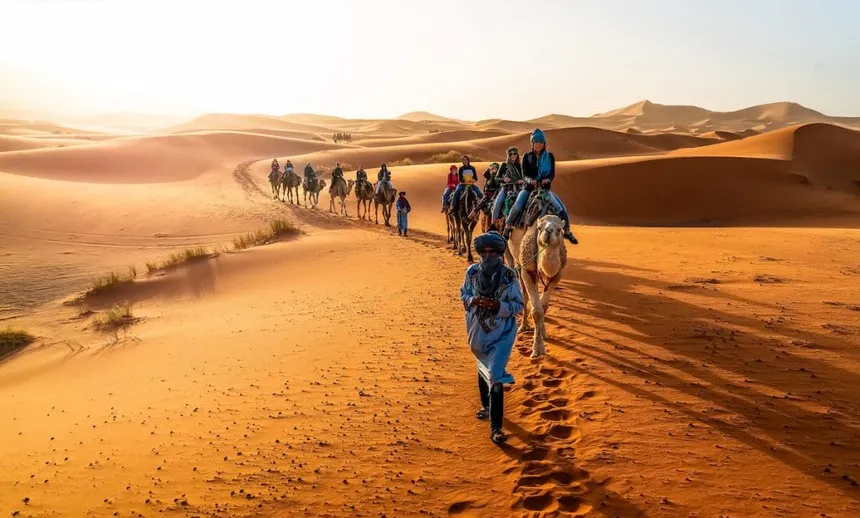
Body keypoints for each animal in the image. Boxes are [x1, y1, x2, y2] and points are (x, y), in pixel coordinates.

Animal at [508, 215, 568, 362]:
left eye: (560, 229)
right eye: (539, 228)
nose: (548, 231)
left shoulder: (557, 274)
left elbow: (544, 306)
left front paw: (543, 334)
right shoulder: (528, 269)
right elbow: (537, 311)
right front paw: (537, 349)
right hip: (517, 261)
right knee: (524, 295)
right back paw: (523, 326)